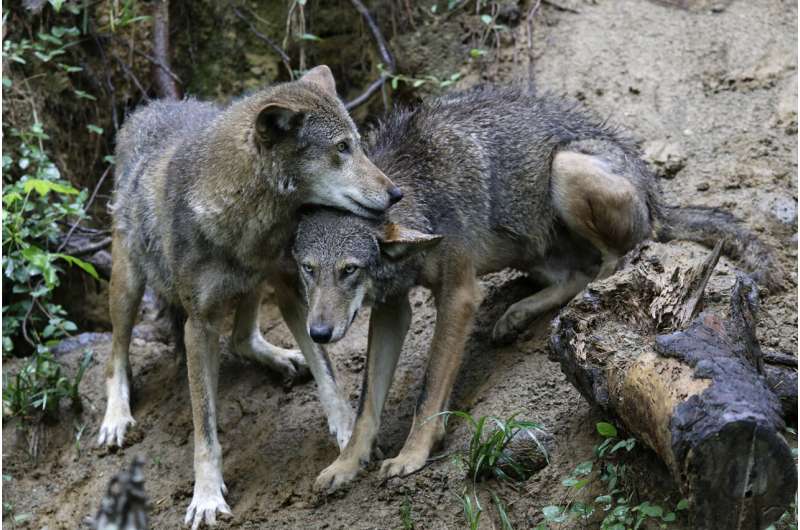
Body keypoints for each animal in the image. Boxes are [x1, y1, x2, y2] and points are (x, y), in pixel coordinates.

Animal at [99, 67, 400, 528]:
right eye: (341, 148)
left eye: (358, 144)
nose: (396, 193)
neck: (245, 221)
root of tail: (148, 106)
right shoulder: (199, 325)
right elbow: (204, 428)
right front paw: (206, 496)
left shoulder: (293, 287)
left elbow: (328, 374)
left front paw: (350, 433)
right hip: (128, 284)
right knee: (116, 354)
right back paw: (116, 417)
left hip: (256, 284)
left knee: (243, 338)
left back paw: (282, 358)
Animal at [290, 85, 780, 490]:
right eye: (308, 270)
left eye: (350, 270)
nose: (318, 334)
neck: (417, 191)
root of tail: (655, 191)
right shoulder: (392, 308)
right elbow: (365, 407)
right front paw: (346, 465)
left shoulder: (459, 294)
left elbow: (428, 391)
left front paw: (412, 455)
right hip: (528, 246)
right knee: (575, 273)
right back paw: (517, 314)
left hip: (566, 169)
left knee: (613, 263)